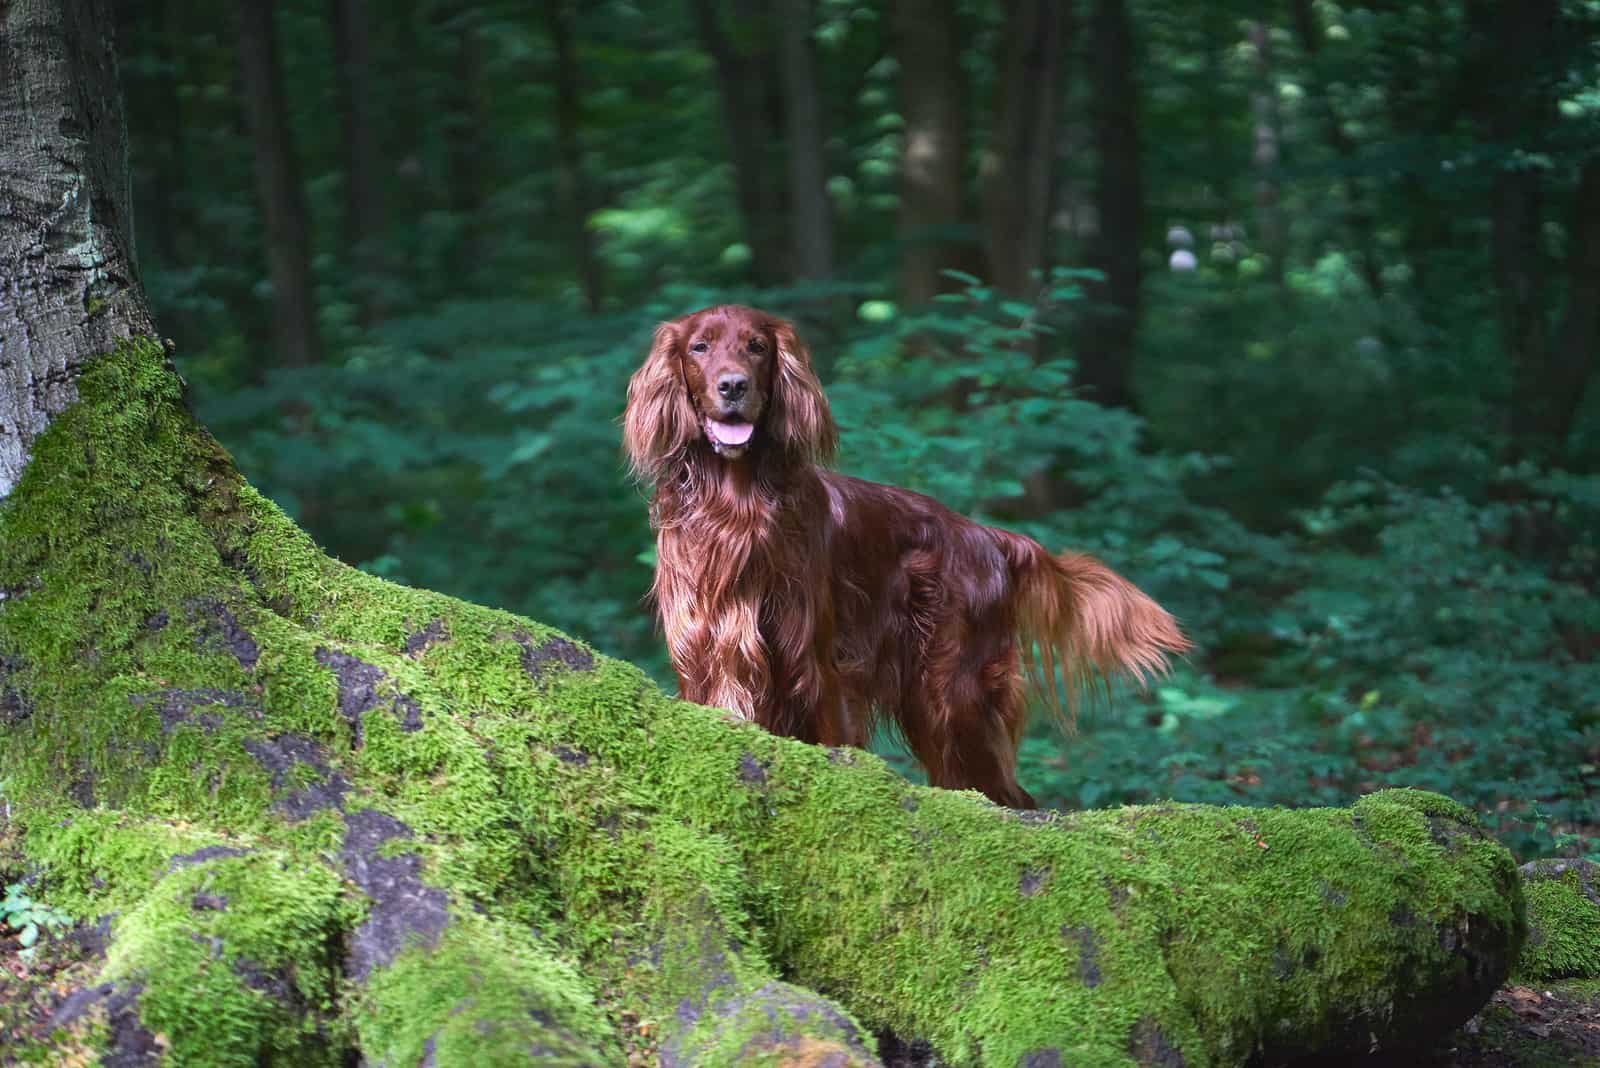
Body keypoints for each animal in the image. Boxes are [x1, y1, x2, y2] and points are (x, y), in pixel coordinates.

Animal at [624, 303, 1190, 805]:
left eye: (757, 347)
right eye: (699, 347)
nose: (733, 386)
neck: (735, 504)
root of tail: (988, 537)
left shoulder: (816, 663)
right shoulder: (702, 652)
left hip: (955, 694)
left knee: (1010, 794)